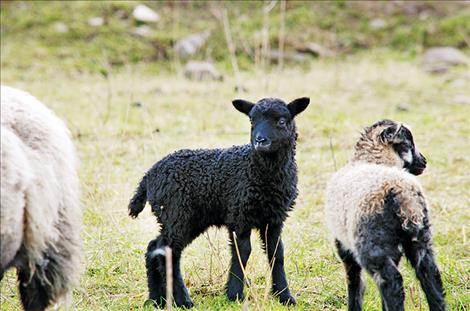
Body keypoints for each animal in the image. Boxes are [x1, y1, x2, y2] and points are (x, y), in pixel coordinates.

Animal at [130, 97, 310, 310]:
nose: (260, 141)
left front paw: (285, 296)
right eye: (252, 121)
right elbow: (243, 252)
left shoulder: (274, 219)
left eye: (282, 121)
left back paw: (156, 299)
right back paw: (183, 300)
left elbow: (276, 254)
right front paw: (235, 294)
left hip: (184, 219)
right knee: (168, 252)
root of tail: (148, 177)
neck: (260, 173)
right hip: (177, 213)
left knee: (155, 247)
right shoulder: (239, 214)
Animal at [324, 120, 446, 311]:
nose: (424, 162)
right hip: (420, 237)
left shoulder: (344, 246)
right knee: (430, 274)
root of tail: (402, 193)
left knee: (391, 282)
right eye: (409, 144)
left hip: (373, 244)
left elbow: (354, 283)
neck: (371, 160)